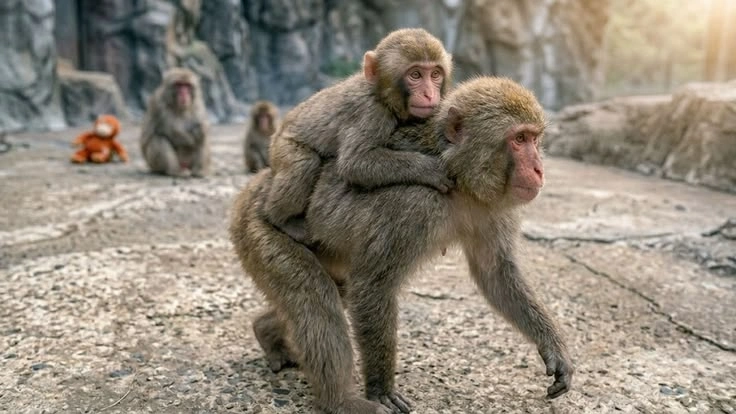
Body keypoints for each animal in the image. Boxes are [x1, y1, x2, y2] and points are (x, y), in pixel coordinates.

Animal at [228, 77, 573, 414]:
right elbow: (373, 286)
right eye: (519, 139)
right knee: (316, 299)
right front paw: (380, 390)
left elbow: (496, 275)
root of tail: (257, 186)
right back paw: (340, 402)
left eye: (534, 139)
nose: (539, 169)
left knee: (336, 294)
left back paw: (266, 332)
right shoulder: (413, 205)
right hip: (259, 234)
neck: (460, 180)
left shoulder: (492, 210)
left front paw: (553, 347)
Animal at [264, 28, 454, 243]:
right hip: (282, 146)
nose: (429, 94)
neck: (383, 96)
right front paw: (430, 170)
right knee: (303, 163)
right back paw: (281, 220)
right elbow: (355, 162)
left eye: (435, 74)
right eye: (415, 75)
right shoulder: (370, 112)